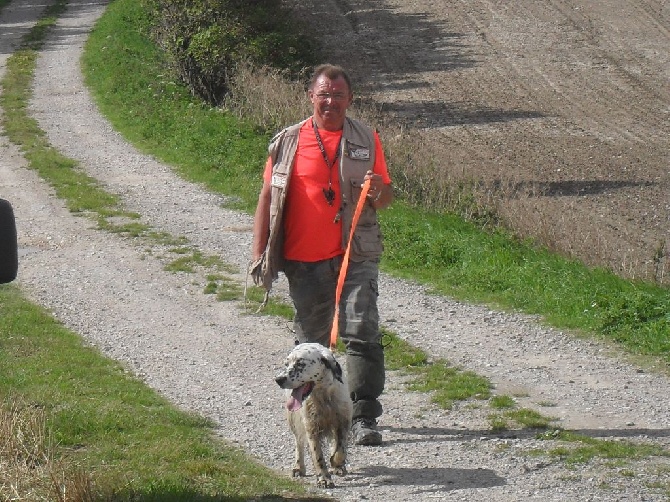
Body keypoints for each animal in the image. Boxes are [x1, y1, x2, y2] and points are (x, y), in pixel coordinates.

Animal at [276, 344, 354, 488]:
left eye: (300, 364)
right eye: (286, 364)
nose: (278, 379)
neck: (324, 397)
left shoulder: (343, 422)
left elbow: (340, 449)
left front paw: (337, 464)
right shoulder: (311, 428)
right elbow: (318, 456)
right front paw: (324, 478)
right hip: (293, 420)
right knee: (299, 443)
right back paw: (298, 467)